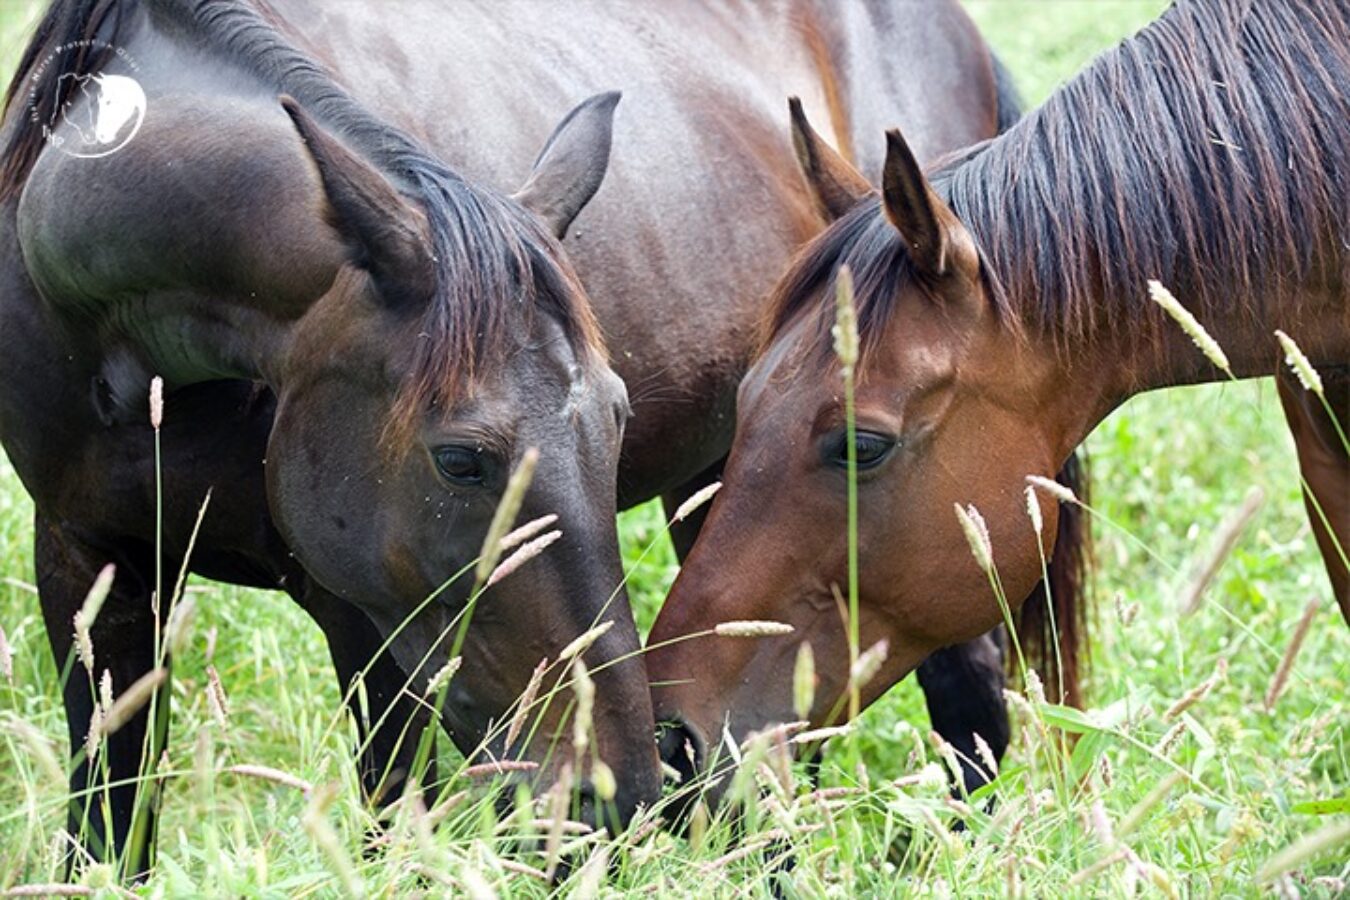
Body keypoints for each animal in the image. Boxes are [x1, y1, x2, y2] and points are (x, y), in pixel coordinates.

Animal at [0, 0, 1031, 874]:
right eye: (461, 459)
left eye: (615, 416)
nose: (617, 790)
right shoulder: (89, 563)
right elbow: (111, 815)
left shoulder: (363, 620)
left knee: (966, 696)